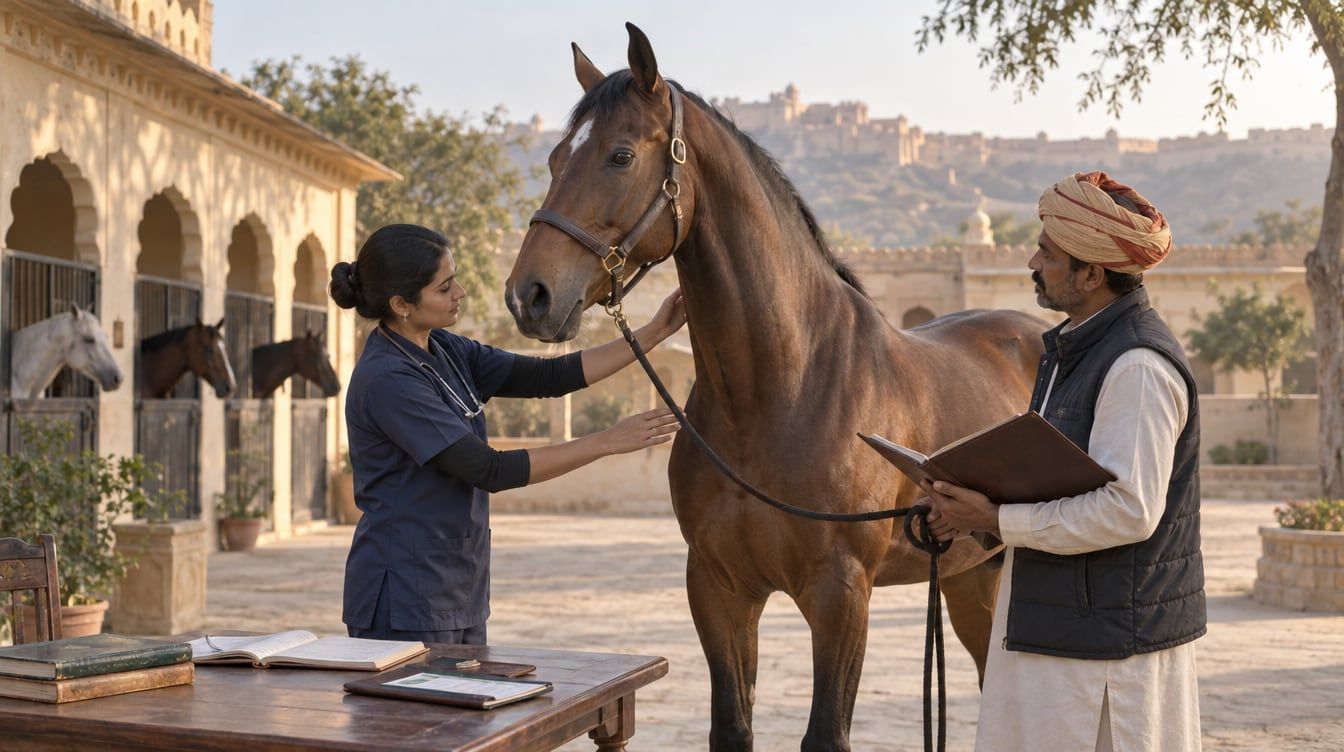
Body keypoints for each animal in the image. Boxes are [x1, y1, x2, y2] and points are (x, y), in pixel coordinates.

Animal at [505, 24, 1049, 751]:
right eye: (555, 156)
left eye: (619, 155)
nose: (529, 295)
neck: (778, 394)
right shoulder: (719, 589)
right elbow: (732, 727)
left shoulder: (841, 595)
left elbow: (826, 734)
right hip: (971, 577)